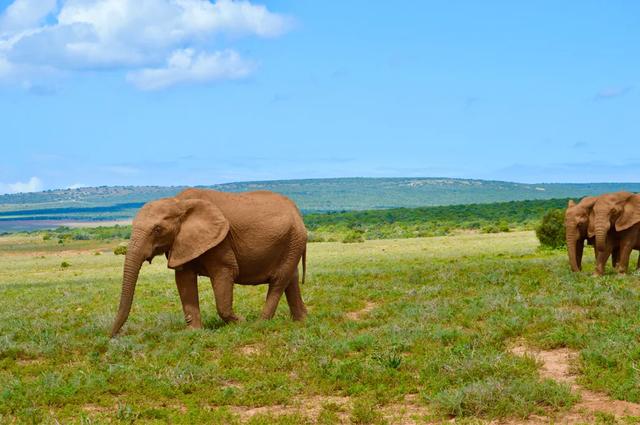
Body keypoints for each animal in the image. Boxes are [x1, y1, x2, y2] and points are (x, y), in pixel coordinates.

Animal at [109, 187, 308, 336]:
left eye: (157, 229)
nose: (111, 336)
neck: (179, 202)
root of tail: (297, 211)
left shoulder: (221, 241)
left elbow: (224, 273)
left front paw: (241, 323)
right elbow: (184, 279)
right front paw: (193, 332)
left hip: (294, 240)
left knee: (278, 281)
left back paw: (259, 324)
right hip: (292, 242)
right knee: (291, 279)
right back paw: (302, 320)